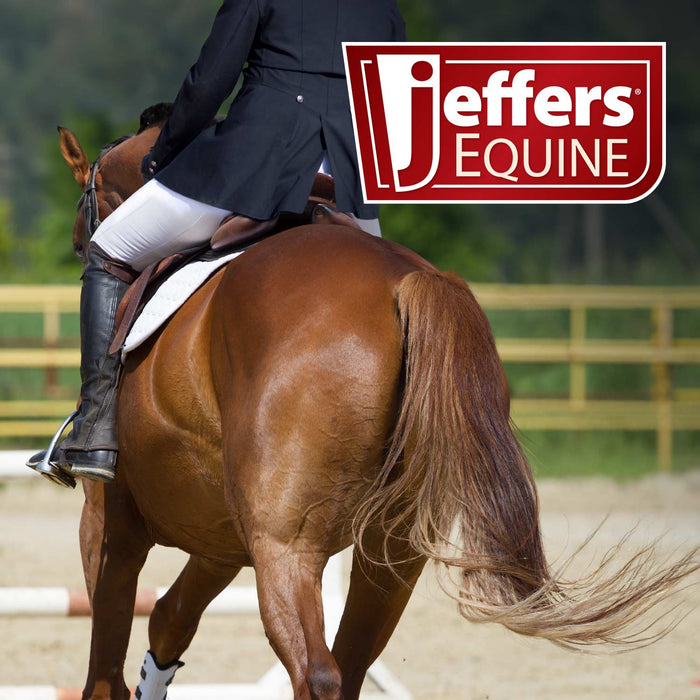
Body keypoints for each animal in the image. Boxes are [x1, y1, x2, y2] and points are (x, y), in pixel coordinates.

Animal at [54, 107, 697, 700]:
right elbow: (168, 619)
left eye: (86, 207)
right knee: (347, 666)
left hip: (287, 548)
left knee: (315, 672)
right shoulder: (221, 540)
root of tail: (406, 281)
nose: (79, 244)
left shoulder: (111, 523)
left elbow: (104, 665)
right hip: (389, 555)